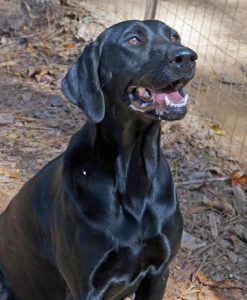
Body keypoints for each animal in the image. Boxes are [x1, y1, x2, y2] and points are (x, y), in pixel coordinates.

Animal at [0, 19, 197, 298]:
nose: (187, 56)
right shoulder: (87, 287)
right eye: (133, 40)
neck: (133, 172)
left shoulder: (159, 272)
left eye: (174, 37)